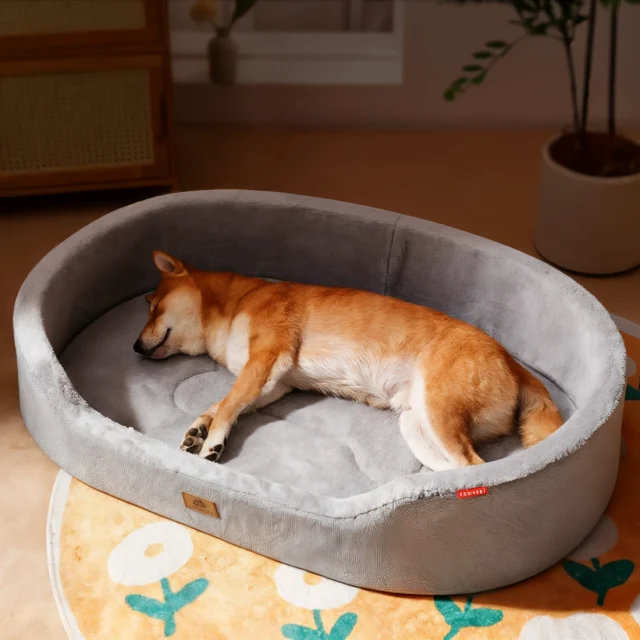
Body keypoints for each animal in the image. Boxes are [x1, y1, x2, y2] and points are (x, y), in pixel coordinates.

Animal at [133, 250, 563, 470]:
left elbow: (227, 406)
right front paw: (200, 426)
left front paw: (214, 439)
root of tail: (513, 363)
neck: (238, 302)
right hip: (417, 424)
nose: (135, 347)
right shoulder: (275, 383)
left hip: (438, 412)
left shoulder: (268, 357)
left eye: (152, 308)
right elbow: (223, 402)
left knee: (475, 467)